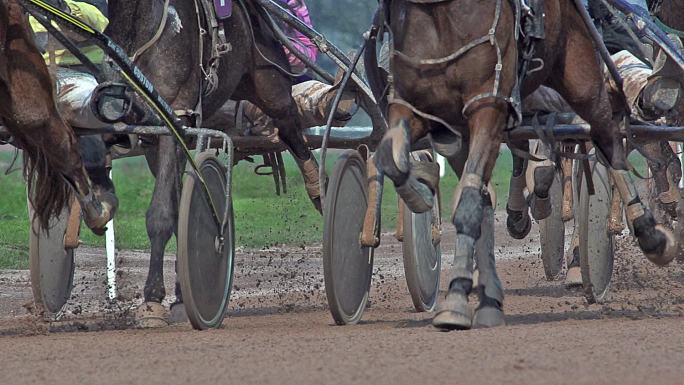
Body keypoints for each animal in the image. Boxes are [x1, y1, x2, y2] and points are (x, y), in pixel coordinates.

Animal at [105, 0, 320, 324]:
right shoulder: (150, 136)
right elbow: (177, 208)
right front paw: (176, 296)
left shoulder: (174, 117)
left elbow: (161, 214)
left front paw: (153, 299)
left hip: (268, 80)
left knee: (291, 127)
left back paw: (317, 186)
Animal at [372, 0, 676, 328]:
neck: (440, 13)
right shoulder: (414, 107)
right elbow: (391, 160)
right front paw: (422, 189)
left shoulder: (488, 102)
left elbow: (469, 201)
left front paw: (455, 299)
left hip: (580, 74)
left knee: (608, 138)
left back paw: (651, 236)